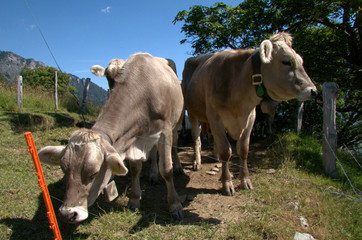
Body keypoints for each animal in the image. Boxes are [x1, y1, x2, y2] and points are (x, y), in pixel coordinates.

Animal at [38, 53, 185, 223]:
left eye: (94, 174)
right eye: (64, 169)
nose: (67, 214)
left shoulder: (165, 131)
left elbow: (166, 169)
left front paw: (175, 206)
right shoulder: (134, 137)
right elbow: (135, 169)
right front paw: (134, 199)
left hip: (177, 122)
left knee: (174, 144)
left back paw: (178, 167)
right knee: (153, 152)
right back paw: (153, 174)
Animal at [182, 32, 316, 196]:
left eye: (300, 60)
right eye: (286, 61)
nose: (313, 90)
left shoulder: (250, 117)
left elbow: (243, 149)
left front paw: (245, 180)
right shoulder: (215, 118)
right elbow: (226, 150)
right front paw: (227, 183)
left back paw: (216, 157)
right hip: (192, 112)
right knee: (197, 139)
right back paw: (197, 162)